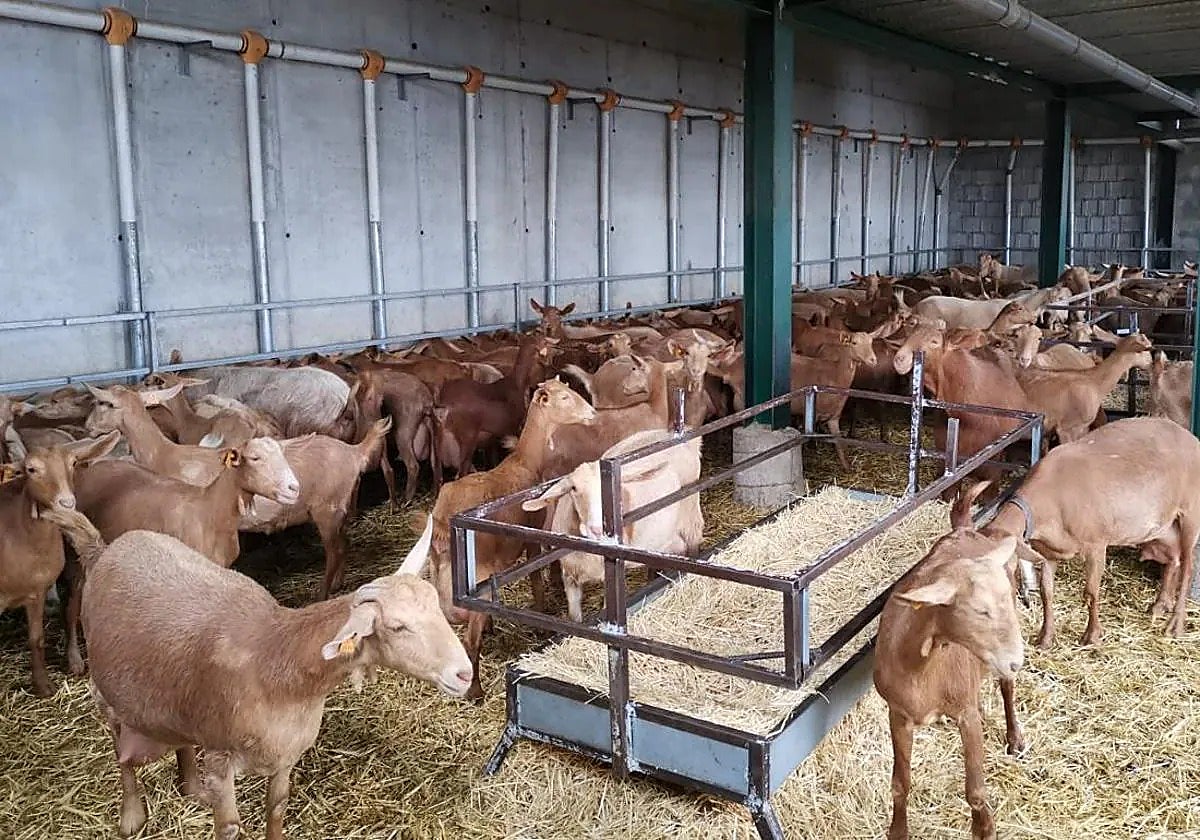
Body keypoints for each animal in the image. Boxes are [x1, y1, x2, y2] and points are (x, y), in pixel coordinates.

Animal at [875, 530, 1025, 840]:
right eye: (980, 611)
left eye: (1006, 596)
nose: (1017, 660)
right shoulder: (897, 714)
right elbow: (900, 783)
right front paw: (898, 830)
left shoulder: (965, 716)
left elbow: (976, 790)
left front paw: (985, 829)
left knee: (1007, 689)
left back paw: (1015, 738)